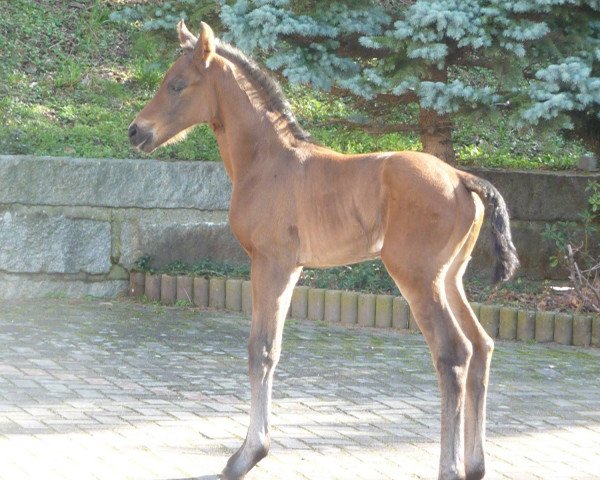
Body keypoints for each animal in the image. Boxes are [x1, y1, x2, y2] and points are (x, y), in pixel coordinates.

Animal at [129, 20, 516, 478]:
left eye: (177, 85)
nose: (135, 131)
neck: (268, 160)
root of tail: (461, 178)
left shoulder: (270, 262)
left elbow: (260, 349)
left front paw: (247, 454)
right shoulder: (292, 268)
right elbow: (273, 347)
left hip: (418, 278)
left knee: (454, 353)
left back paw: (450, 467)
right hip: (450, 277)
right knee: (482, 345)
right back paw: (475, 464)